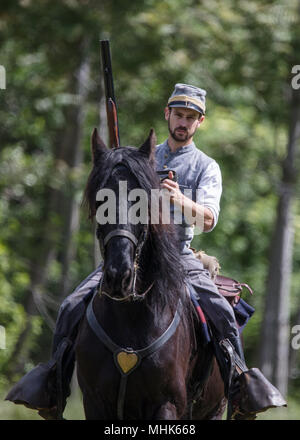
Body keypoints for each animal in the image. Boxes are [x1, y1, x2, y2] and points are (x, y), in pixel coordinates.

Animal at [75, 128, 225, 420]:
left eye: (142, 199)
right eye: (100, 199)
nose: (118, 276)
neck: (130, 318)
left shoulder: (166, 405)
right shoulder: (94, 402)